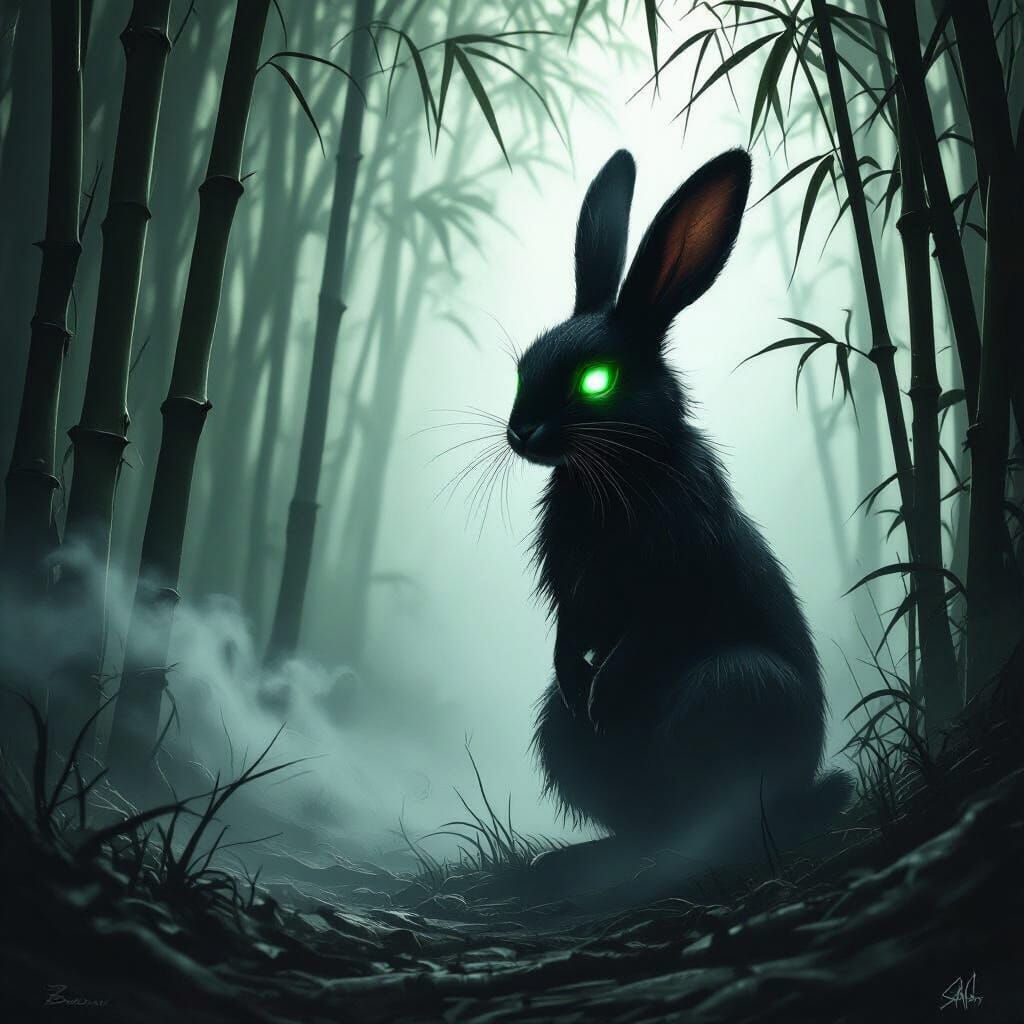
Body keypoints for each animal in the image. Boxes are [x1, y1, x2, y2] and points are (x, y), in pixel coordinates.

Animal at [505, 149, 852, 868]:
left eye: (596, 381)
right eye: (523, 365)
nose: (521, 433)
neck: (616, 474)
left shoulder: (675, 572)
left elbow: (650, 631)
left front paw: (605, 695)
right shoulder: (575, 596)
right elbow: (572, 638)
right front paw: (587, 695)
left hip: (733, 687)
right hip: (563, 732)